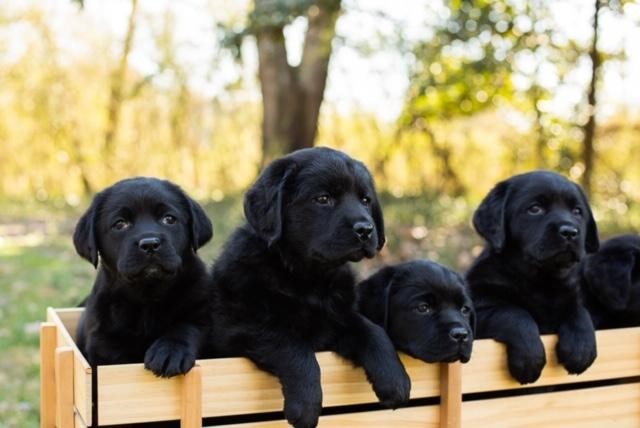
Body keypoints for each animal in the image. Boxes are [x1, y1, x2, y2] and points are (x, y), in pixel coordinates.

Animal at [74, 177, 211, 378]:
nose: (150, 244)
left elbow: (186, 326)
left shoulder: (201, 311)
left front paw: (170, 352)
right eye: (120, 224)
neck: (148, 296)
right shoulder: (103, 338)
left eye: (169, 219)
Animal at [209, 148, 410, 428]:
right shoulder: (240, 324)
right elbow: (294, 347)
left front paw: (395, 380)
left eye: (365, 200)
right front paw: (305, 406)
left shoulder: (336, 318)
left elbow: (371, 330)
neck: (308, 280)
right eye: (323, 199)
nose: (366, 229)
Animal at [464, 171, 600, 384]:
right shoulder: (479, 308)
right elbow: (515, 313)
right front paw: (530, 358)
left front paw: (581, 349)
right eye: (535, 209)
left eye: (577, 211)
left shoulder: (569, 295)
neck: (541, 280)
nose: (570, 232)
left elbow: (579, 311)